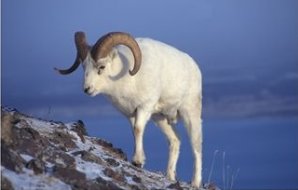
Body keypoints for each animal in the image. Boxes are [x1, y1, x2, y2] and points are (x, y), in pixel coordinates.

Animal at [55, 31, 204, 188]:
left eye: (101, 67)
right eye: (84, 67)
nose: (87, 89)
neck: (127, 79)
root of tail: (194, 67)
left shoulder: (144, 108)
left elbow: (138, 129)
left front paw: (138, 161)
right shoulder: (131, 114)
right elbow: (134, 132)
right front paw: (138, 162)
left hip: (190, 115)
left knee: (196, 147)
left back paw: (195, 183)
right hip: (161, 119)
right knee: (175, 140)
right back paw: (170, 176)